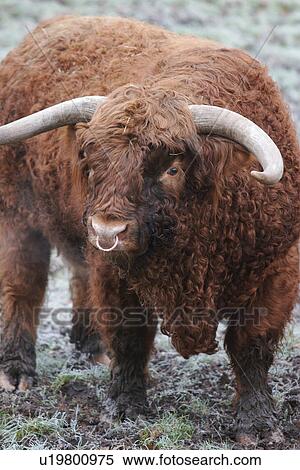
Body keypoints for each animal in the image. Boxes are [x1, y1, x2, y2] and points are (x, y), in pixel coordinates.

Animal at [0, 16, 300, 442]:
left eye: (172, 168)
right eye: (91, 162)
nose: (107, 231)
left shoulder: (278, 270)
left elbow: (251, 345)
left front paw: (256, 424)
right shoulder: (115, 275)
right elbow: (130, 338)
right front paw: (127, 407)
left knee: (74, 273)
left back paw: (90, 346)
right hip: (18, 216)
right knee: (22, 287)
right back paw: (17, 372)